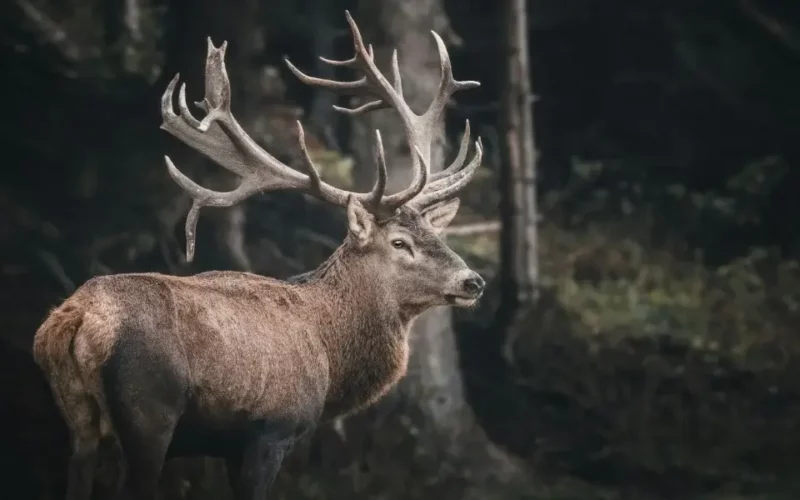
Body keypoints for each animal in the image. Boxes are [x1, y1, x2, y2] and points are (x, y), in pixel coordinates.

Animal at [34, 8, 484, 500]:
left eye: (435, 233)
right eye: (400, 243)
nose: (473, 281)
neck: (330, 357)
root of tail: (76, 317)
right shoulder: (272, 429)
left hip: (77, 421)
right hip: (148, 411)